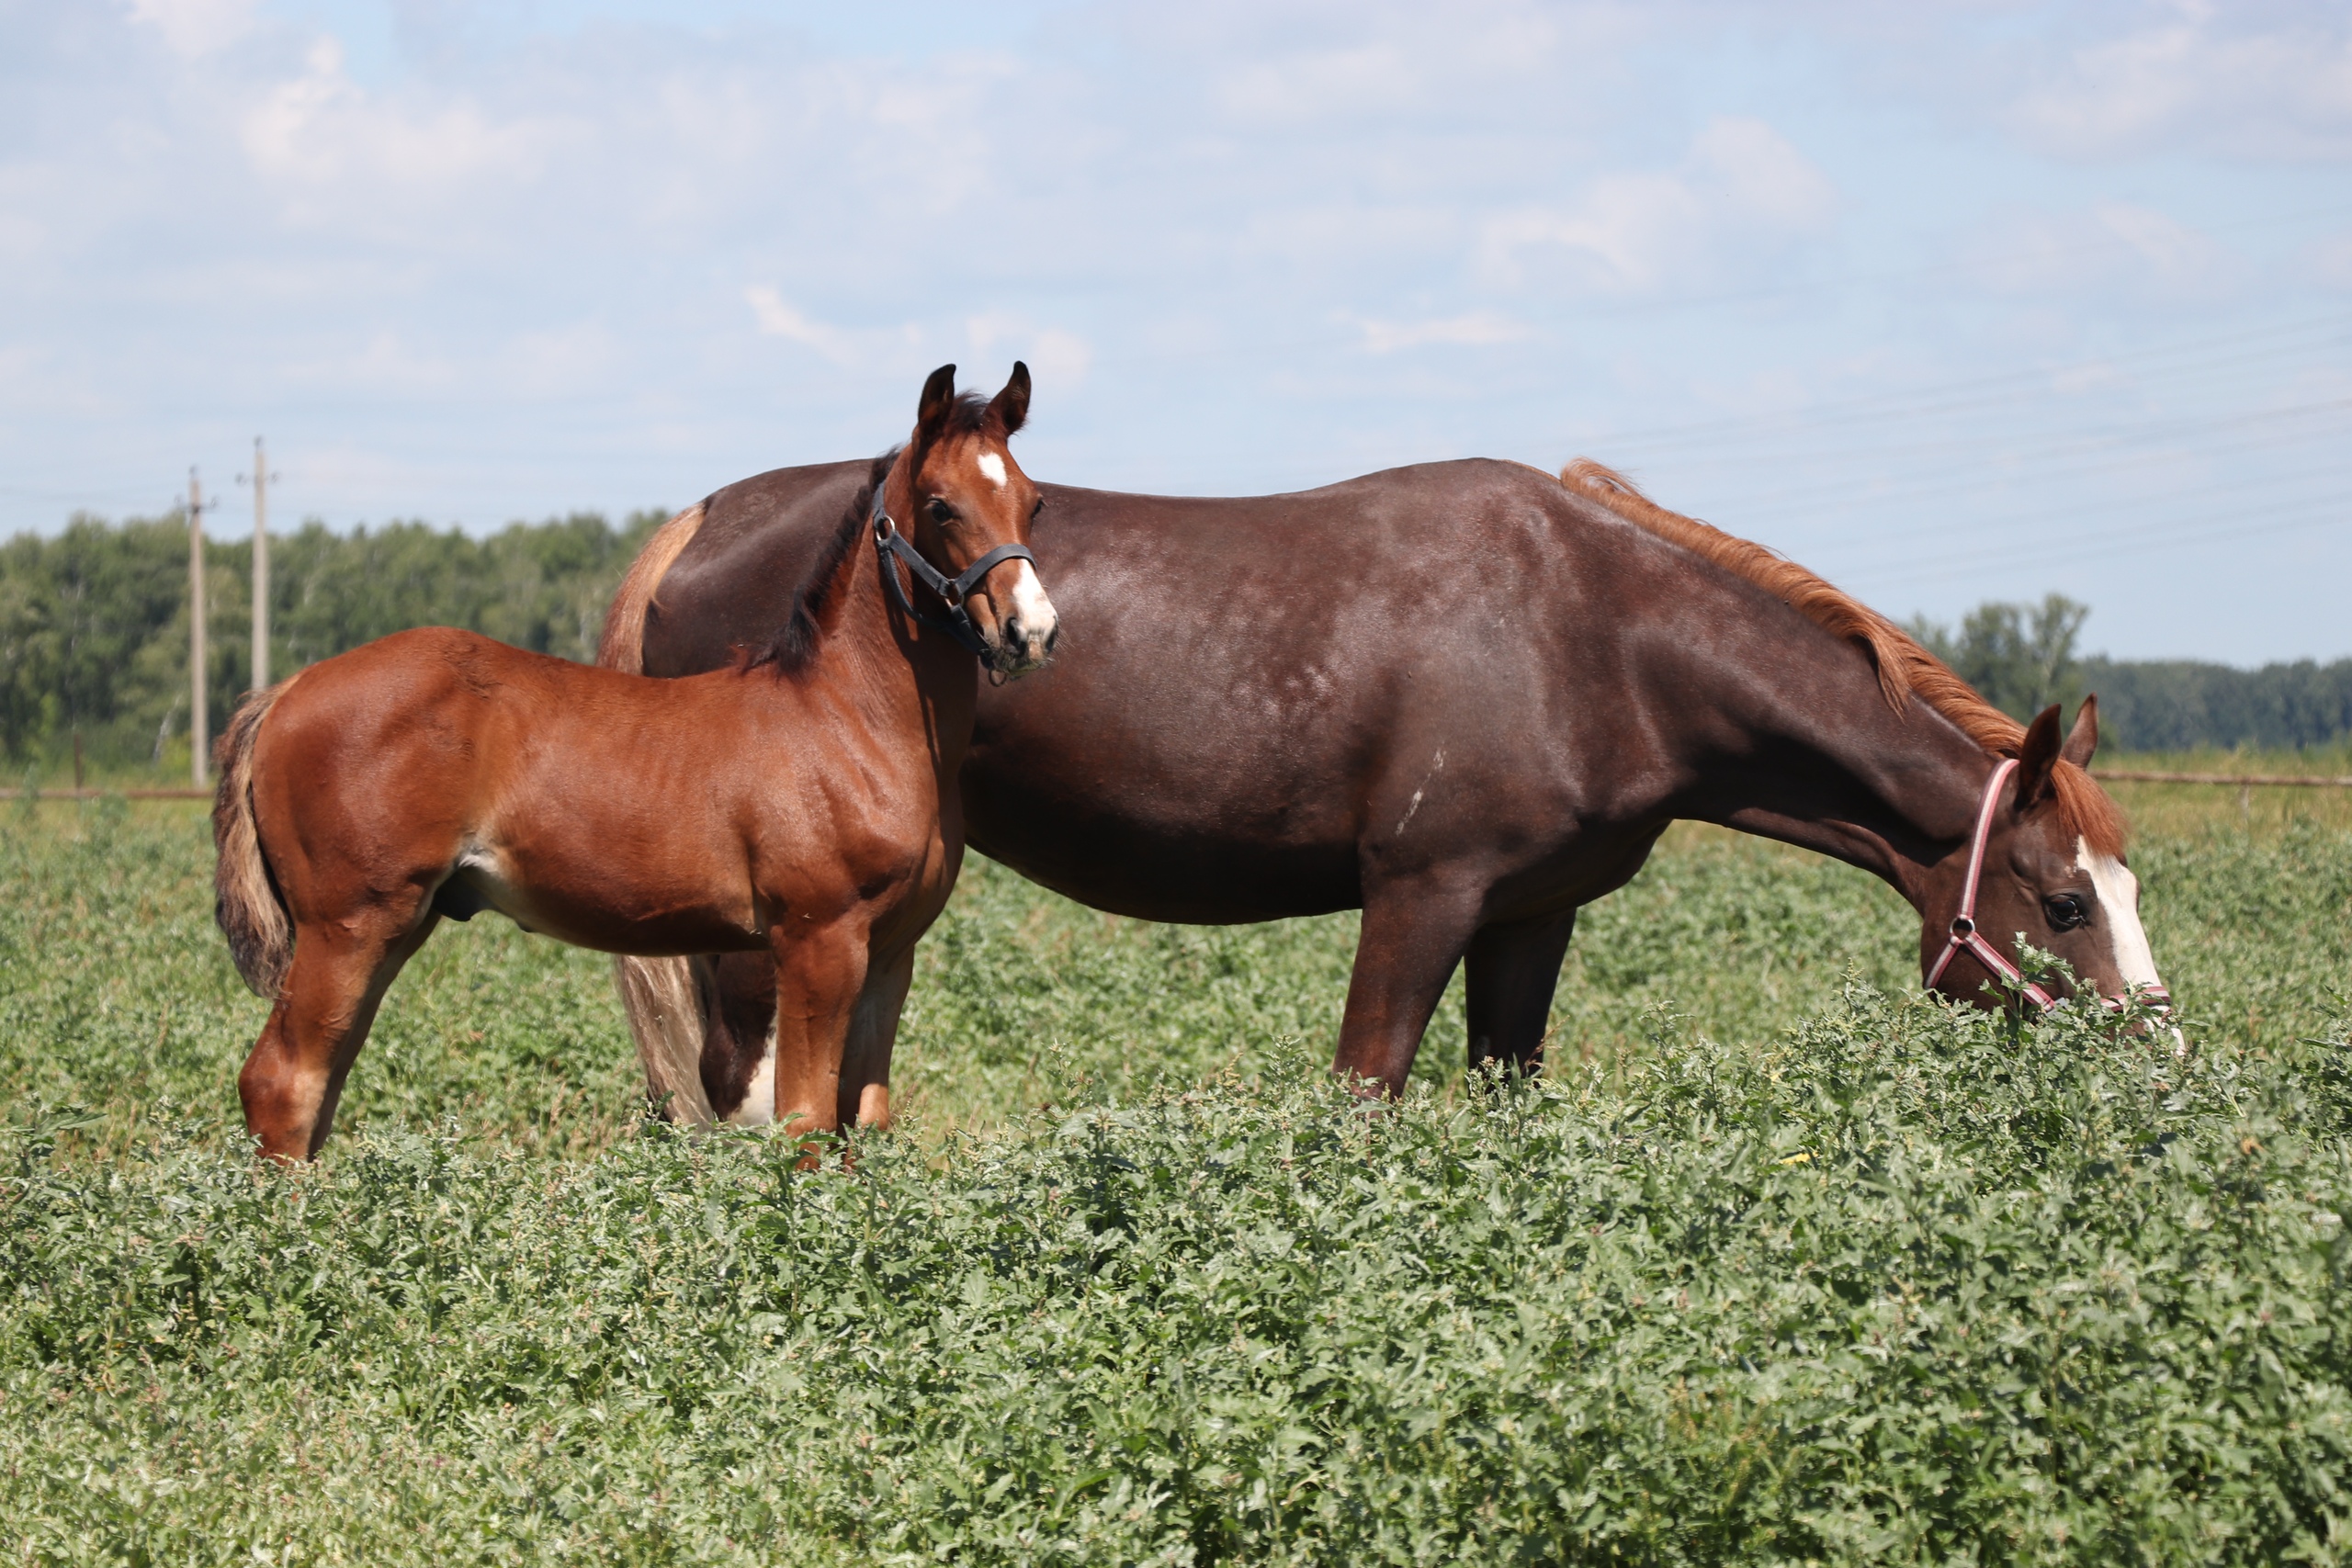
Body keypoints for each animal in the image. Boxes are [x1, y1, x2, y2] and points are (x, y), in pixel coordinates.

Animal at [211, 362, 1058, 1161]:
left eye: (1034, 503)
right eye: (942, 505)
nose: (1033, 632)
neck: (847, 716)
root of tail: (285, 692)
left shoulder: (889, 954)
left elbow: (866, 1124)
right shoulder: (818, 941)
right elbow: (807, 1124)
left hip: (396, 924)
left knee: (321, 1082)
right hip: (347, 925)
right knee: (282, 1082)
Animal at [606, 446, 2164, 1123]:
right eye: (2064, 904)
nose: (2163, 1057)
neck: (1594, 631)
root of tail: (700, 521)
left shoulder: (1531, 915)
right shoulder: (1420, 897)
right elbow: (1367, 1096)